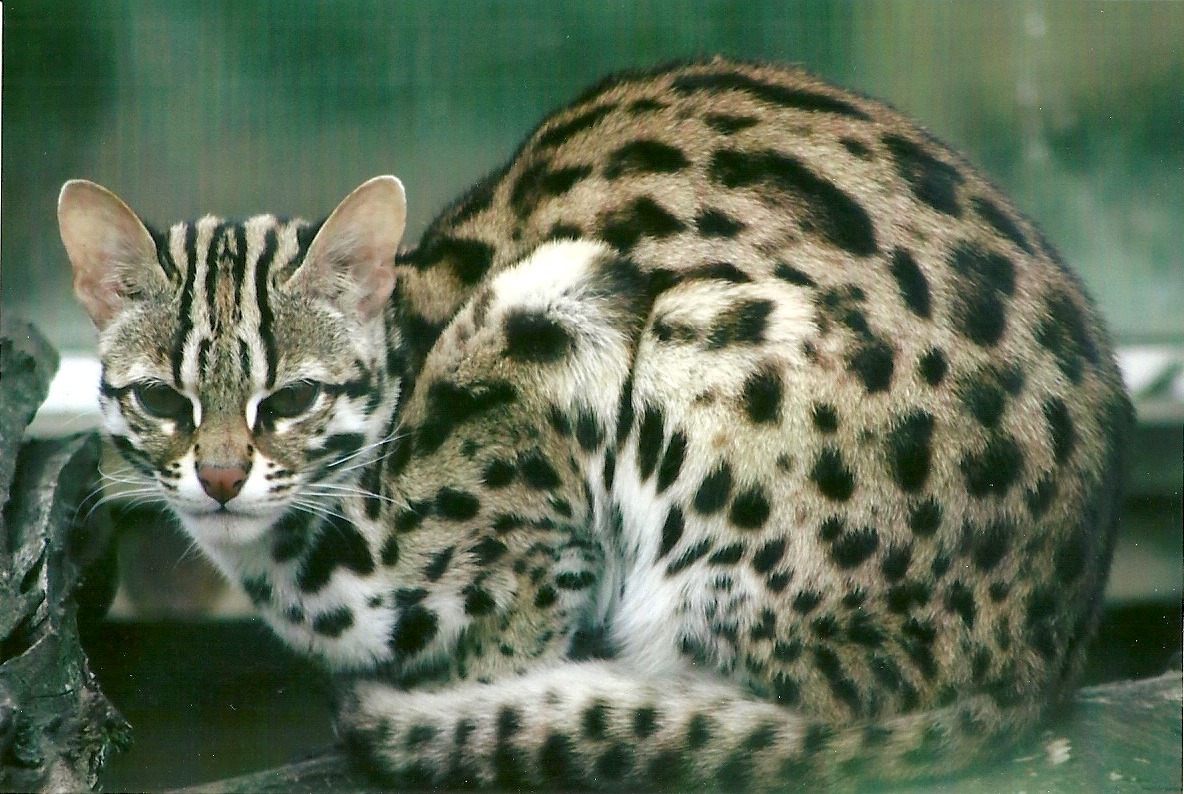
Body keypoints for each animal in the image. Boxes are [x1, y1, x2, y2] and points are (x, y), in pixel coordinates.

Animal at [58, 58, 1130, 790]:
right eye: (162, 401)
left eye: (291, 400)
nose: (221, 478)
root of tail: (1047, 654)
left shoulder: (558, 323)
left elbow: (519, 622)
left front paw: (478, 702)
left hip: (701, 357)